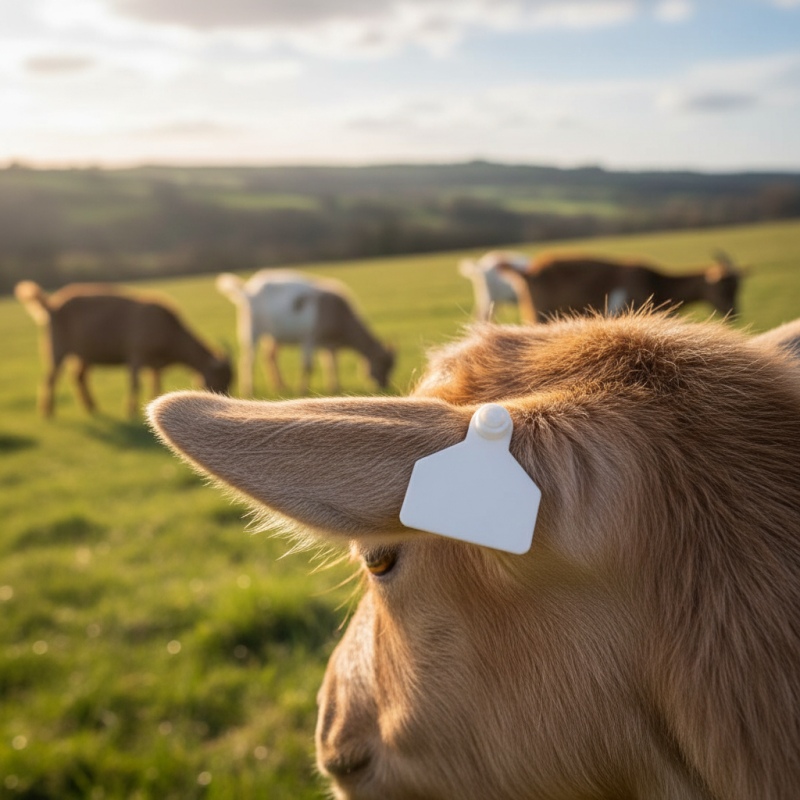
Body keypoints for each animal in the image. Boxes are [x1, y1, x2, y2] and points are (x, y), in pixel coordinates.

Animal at [15, 280, 231, 417]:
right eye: (219, 379)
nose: (223, 404)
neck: (169, 330)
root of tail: (51, 305)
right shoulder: (136, 356)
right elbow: (135, 384)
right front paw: (132, 411)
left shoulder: (155, 365)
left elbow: (156, 385)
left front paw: (152, 405)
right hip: (57, 348)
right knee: (50, 378)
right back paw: (48, 412)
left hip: (84, 354)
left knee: (79, 377)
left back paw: (92, 407)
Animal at [216, 269, 395, 396]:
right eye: (382, 364)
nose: (384, 385)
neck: (339, 313)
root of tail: (248, 290)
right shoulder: (310, 338)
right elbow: (308, 365)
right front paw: (302, 390)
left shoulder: (329, 344)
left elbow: (332, 364)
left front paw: (335, 388)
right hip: (251, 329)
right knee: (249, 359)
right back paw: (249, 390)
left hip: (274, 335)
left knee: (270, 356)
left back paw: (280, 386)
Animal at [500, 251, 741, 323]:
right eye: (722, 286)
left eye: (738, 287)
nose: (734, 313)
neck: (657, 283)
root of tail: (527, 272)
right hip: (539, 313)